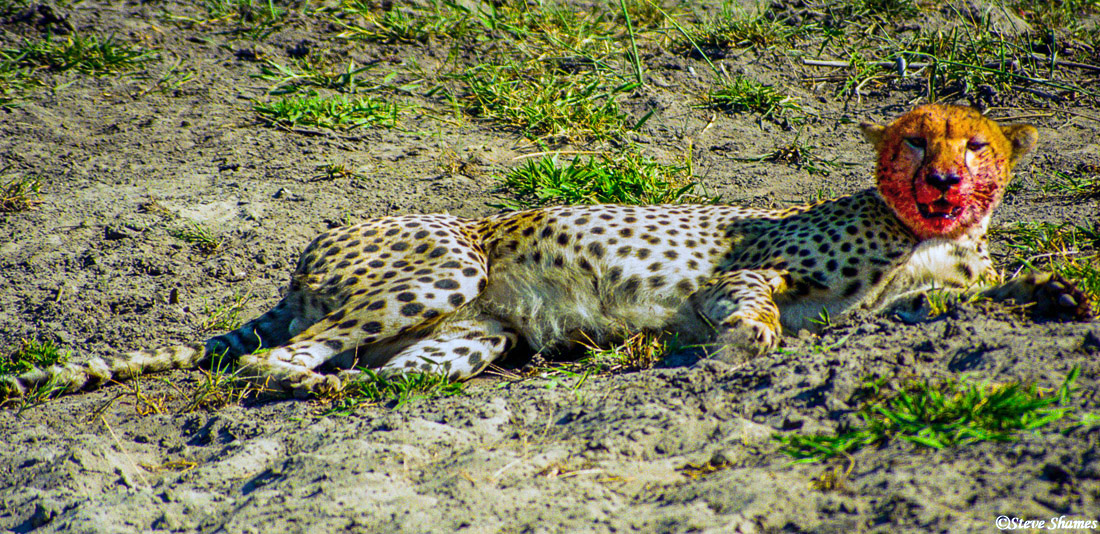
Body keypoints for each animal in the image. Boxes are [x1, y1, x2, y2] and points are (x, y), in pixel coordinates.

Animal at [4, 104, 1091, 398]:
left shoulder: (926, 292)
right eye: (914, 139)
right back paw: (309, 387)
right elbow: (752, 306)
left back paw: (358, 392)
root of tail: (318, 240)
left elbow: (980, 295)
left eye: (975, 145)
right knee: (273, 361)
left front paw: (1061, 296)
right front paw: (738, 345)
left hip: (470, 334)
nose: (942, 178)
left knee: (380, 370)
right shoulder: (749, 269)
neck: (932, 234)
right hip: (443, 265)